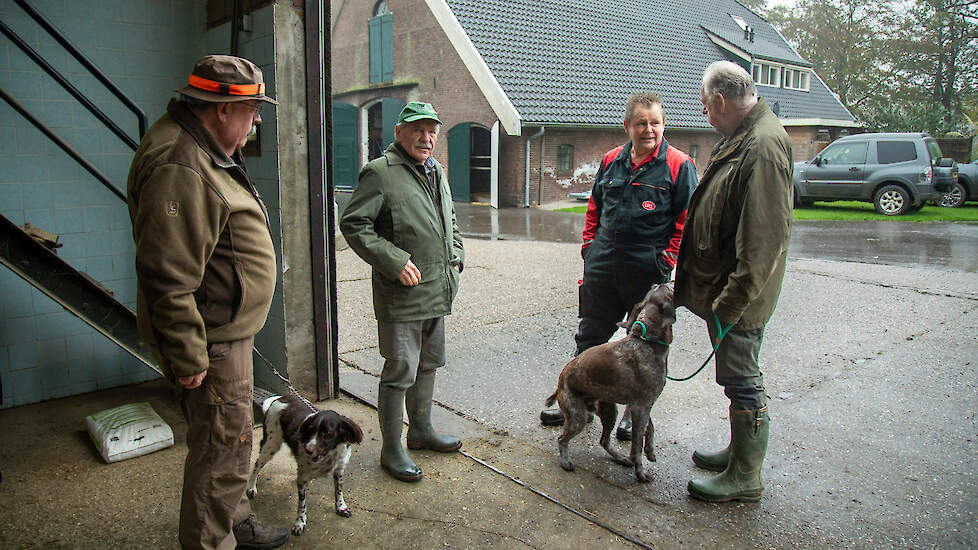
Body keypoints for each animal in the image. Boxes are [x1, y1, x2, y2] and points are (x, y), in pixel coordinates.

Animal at [540, 284, 672, 484]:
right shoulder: (641, 407)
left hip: (609, 411)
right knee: (562, 439)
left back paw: (619, 457)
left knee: (604, 440)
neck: (646, 341)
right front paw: (640, 473)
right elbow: (637, 447)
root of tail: (561, 380)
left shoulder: (644, 405)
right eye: (670, 293)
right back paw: (565, 461)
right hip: (578, 417)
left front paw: (650, 451)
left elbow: (650, 429)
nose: (659, 283)